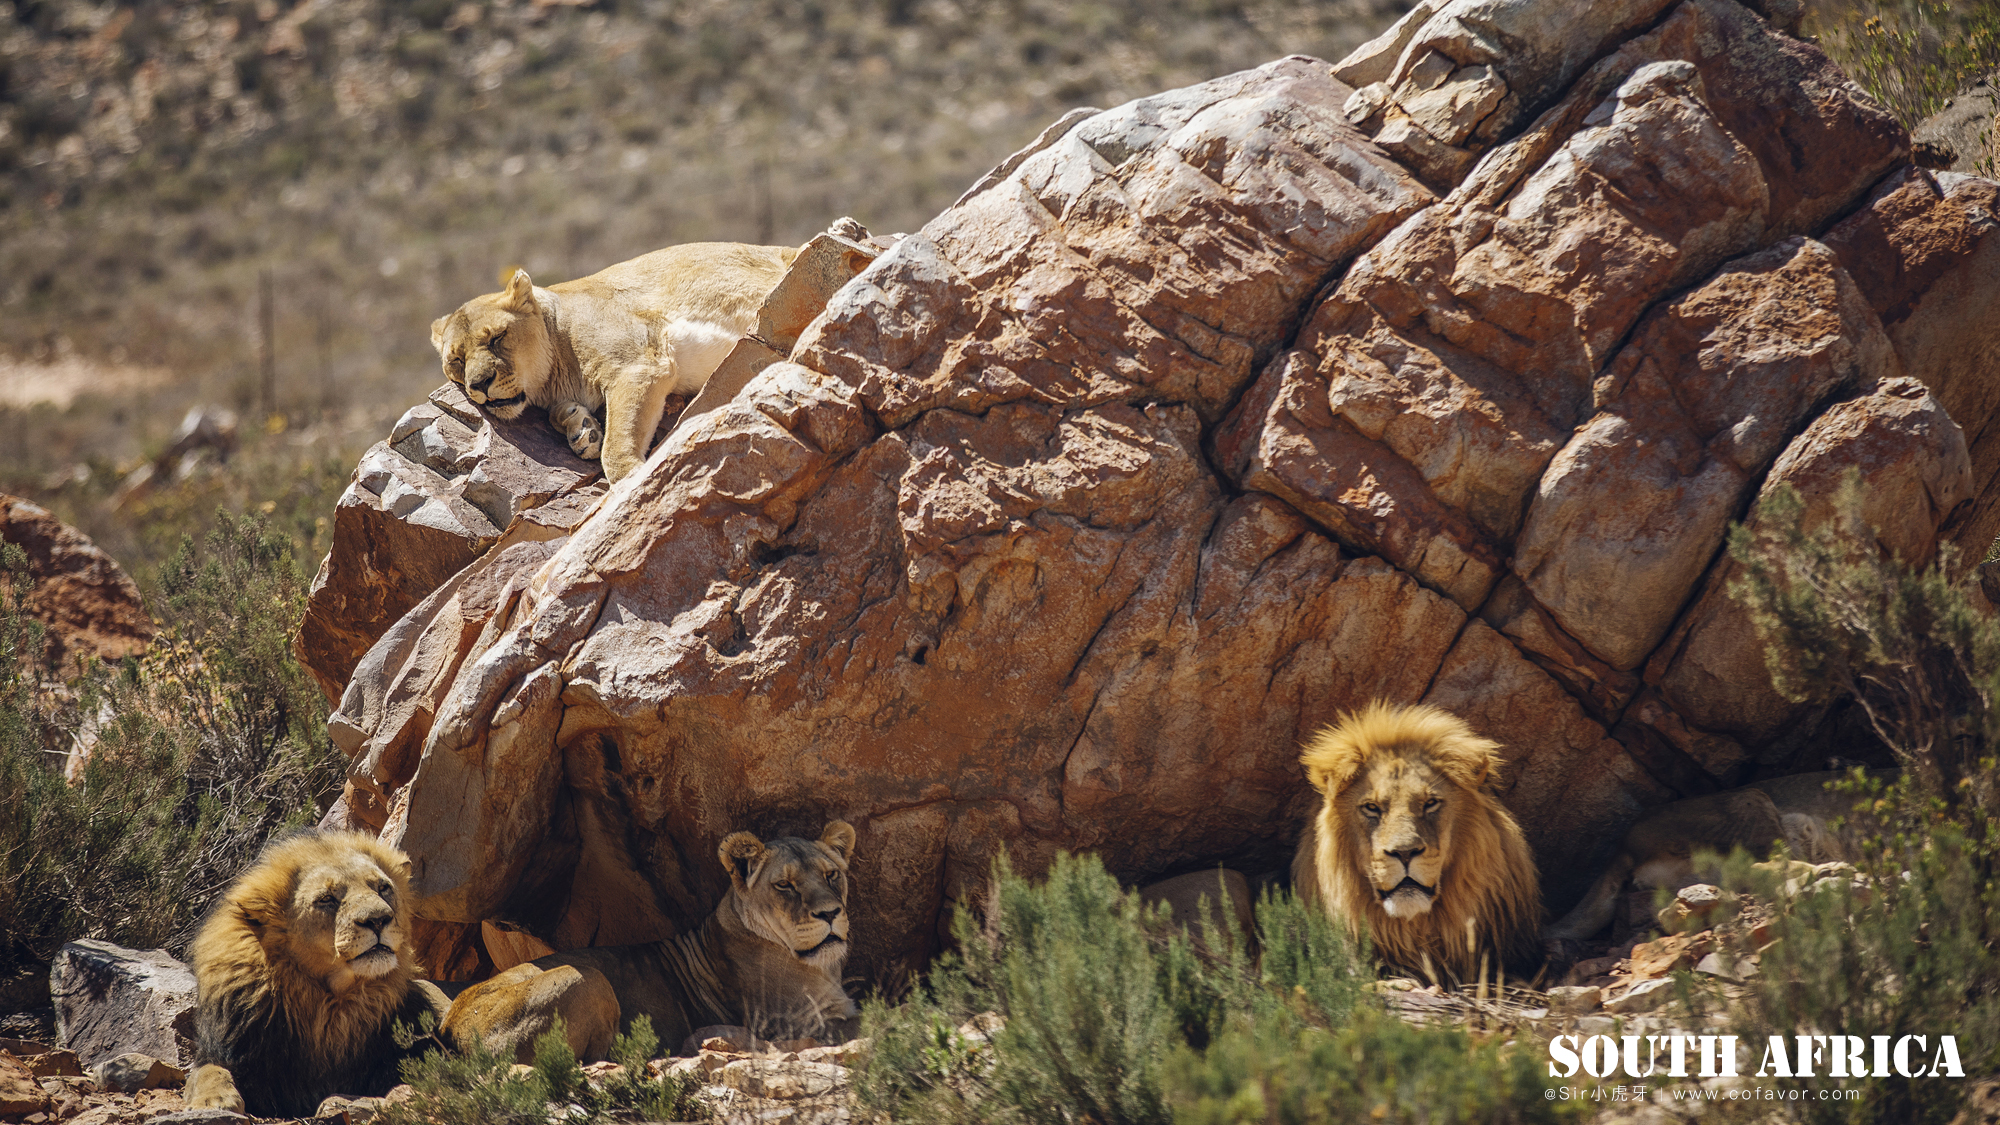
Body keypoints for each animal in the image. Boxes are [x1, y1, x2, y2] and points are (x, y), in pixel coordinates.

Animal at [182, 824, 456, 1112]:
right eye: (326, 899)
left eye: (383, 888)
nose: (379, 919)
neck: (333, 1004)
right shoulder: (229, 1051)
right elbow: (207, 1072)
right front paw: (213, 1101)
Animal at [446, 820, 860, 1056]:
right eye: (785, 885)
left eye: (831, 875)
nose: (830, 914)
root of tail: (449, 1026)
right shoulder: (801, 1024)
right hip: (585, 977)